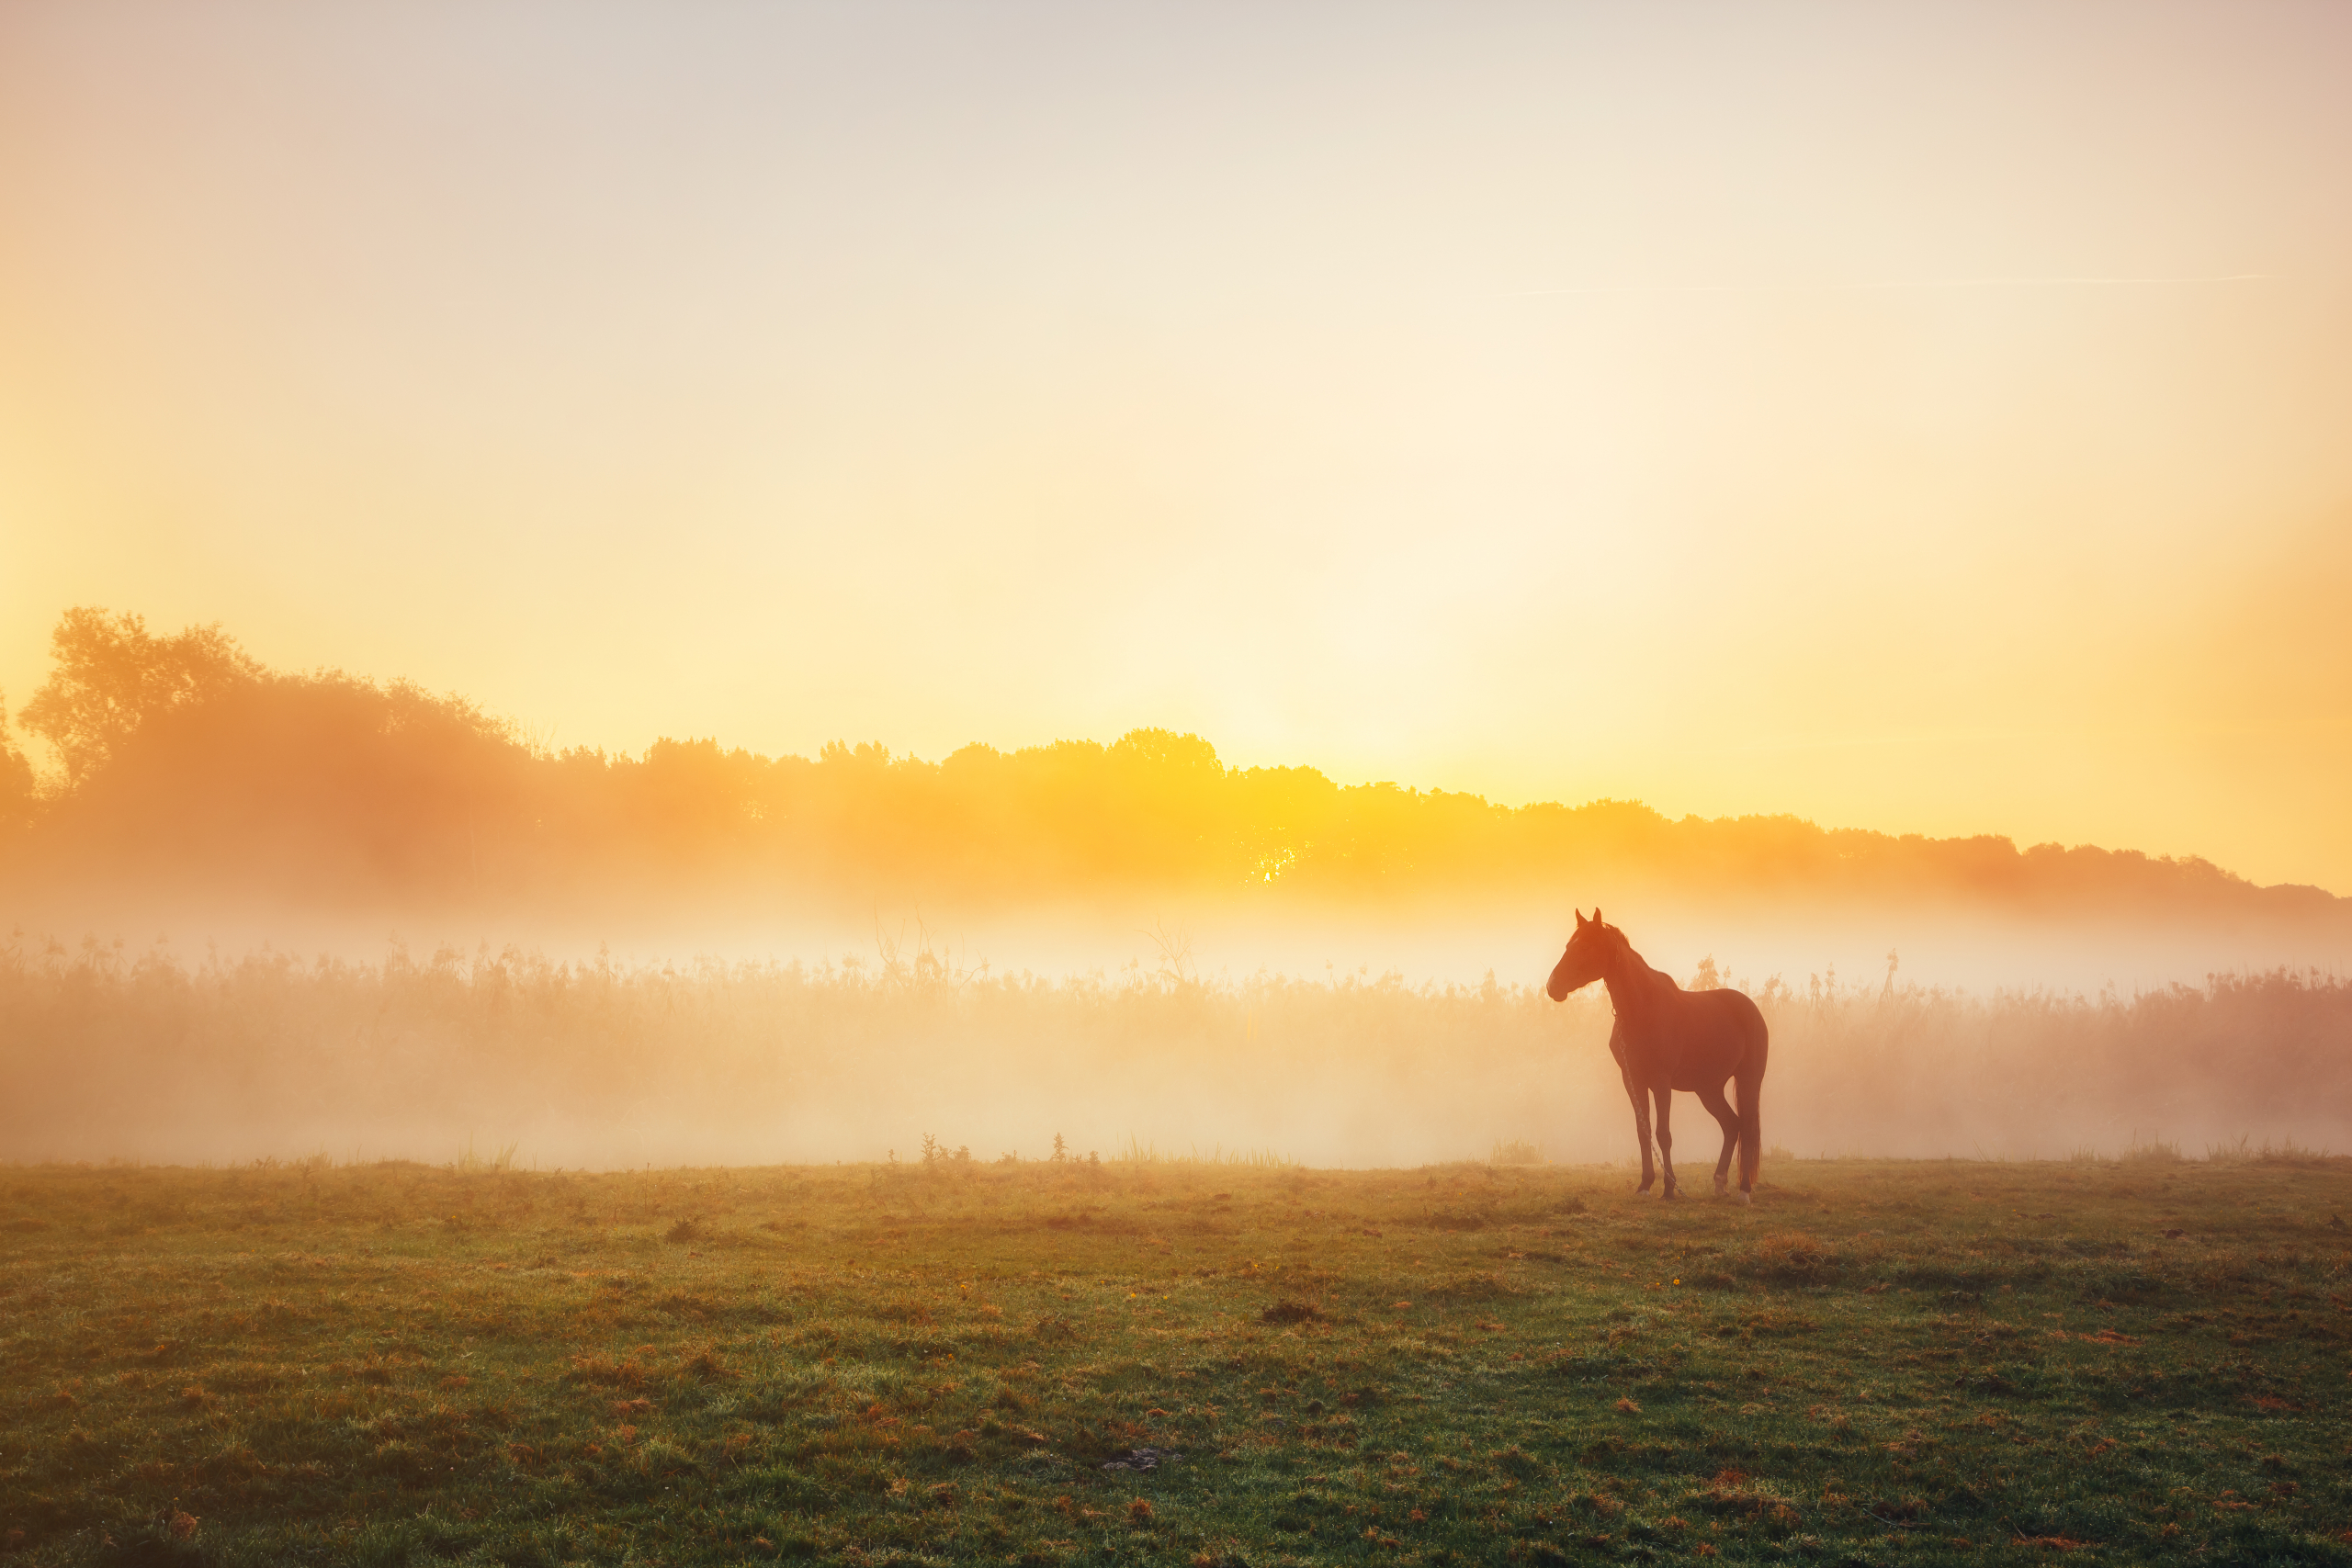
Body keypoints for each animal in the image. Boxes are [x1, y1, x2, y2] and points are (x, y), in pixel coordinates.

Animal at [1543, 907, 1769, 1203]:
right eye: (1569, 945)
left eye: (1586, 946)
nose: (1552, 986)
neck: (1641, 1009)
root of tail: (1752, 1010)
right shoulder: (1633, 1081)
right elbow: (1644, 1132)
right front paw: (1645, 1185)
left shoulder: (1661, 1082)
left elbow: (1664, 1135)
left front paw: (1669, 1189)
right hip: (1708, 1088)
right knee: (1732, 1125)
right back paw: (1720, 1183)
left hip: (1749, 1080)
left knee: (1748, 1128)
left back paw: (1744, 1191)